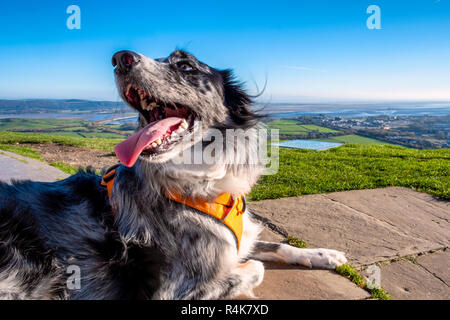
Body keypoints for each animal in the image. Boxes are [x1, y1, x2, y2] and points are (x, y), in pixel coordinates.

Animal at [0, 50, 348, 300]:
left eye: (186, 66)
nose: (120, 58)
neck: (201, 184)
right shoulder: (174, 291)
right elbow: (255, 267)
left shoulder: (240, 238)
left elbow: (273, 245)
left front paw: (324, 255)